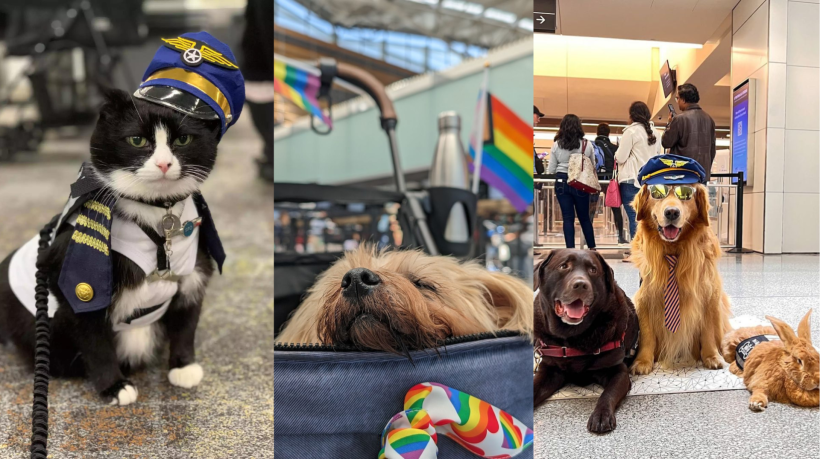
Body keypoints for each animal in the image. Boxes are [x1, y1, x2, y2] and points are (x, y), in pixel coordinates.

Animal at [0, 89, 224, 406]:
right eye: (137, 140)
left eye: (183, 140)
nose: (164, 164)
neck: (158, 217)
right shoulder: (77, 281)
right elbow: (95, 338)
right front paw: (114, 386)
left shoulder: (193, 270)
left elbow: (186, 322)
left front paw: (183, 366)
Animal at [628, 157, 732, 374]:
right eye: (657, 192)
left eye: (686, 194)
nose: (672, 212)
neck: (673, 251)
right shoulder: (645, 298)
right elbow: (647, 335)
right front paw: (642, 361)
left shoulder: (709, 295)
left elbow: (708, 331)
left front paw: (711, 356)